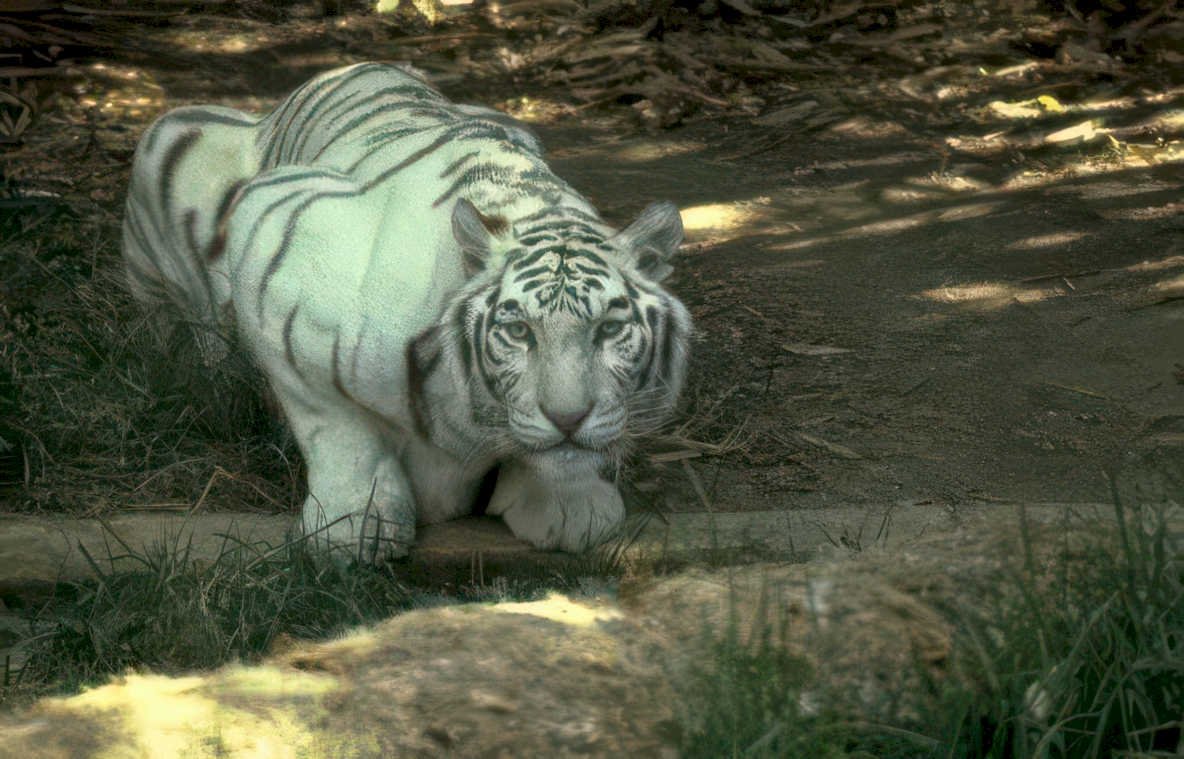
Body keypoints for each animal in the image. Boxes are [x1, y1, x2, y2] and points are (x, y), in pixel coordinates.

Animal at [122, 62, 692, 562]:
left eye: (610, 328)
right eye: (518, 331)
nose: (570, 419)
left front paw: (572, 504)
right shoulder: (277, 241)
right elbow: (335, 427)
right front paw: (353, 530)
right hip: (173, 138)